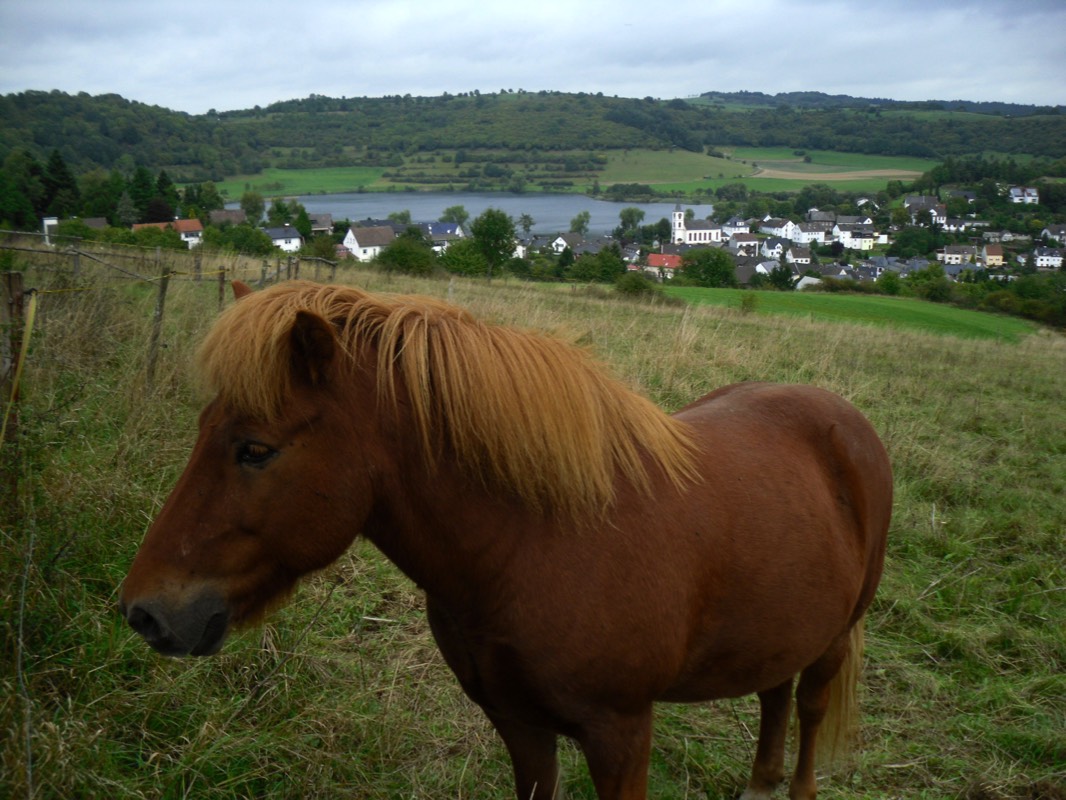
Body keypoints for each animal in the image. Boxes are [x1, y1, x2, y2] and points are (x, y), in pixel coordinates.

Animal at [120, 279, 895, 797]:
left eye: (255, 449)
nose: (144, 611)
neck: (536, 543)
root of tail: (844, 418)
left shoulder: (622, 735)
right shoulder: (518, 724)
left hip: (835, 636)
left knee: (808, 706)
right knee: (773, 694)